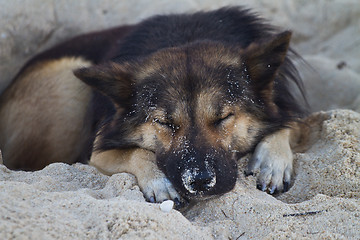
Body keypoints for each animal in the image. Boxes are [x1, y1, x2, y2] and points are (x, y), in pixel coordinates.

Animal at [0, 7, 310, 206]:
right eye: (165, 123)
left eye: (223, 118)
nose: (200, 181)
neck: (186, 36)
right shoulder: (98, 150)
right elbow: (137, 152)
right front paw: (159, 181)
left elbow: (289, 122)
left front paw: (273, 162)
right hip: (69, 80)